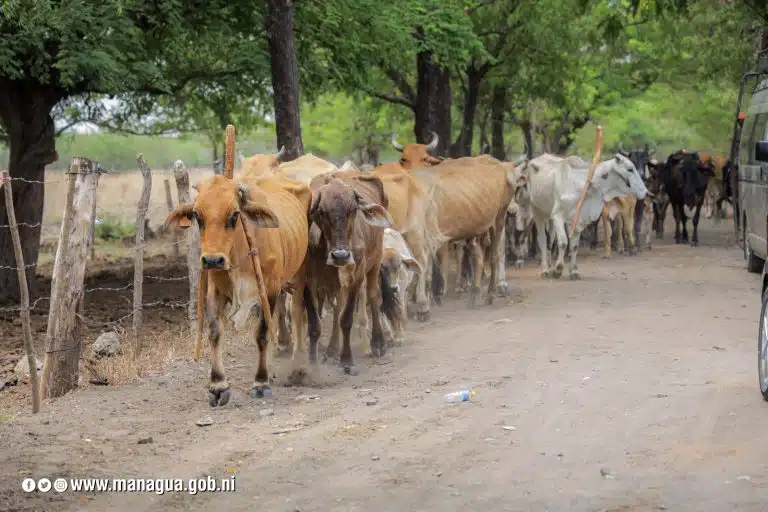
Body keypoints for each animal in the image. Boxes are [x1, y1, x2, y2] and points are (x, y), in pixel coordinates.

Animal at [165, 173, 312, 407]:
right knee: (280, 314)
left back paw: (298, 360)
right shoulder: (215, 292)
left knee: (296, 311)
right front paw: (218, 386)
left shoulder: (268, 289)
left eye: (234, 214)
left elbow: (261, 333)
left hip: (300, 272)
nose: (212, 260)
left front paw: (260, 383)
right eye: (197, 215)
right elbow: (215, 333)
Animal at [304, 171, 401, 375]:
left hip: (375, 260)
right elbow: (315, 325)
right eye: (321, 211)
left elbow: (346, 319)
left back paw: (378, 343)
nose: (341, 255)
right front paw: (312, 363)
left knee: (373, 296)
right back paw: (332, 350)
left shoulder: (356, 276)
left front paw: (347, 360)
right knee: (336, 310)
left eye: (353, 209)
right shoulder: (308, 280)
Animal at [520, 153, 650, 279]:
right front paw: (558, 270)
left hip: (549, 216)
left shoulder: (578, 220)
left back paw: (550, 267)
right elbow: (563, 242)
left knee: (550, 241)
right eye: (630, 169)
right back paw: (545, 270)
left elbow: (574, 246)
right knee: (542, 240)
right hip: (538, 212)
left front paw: (573, 271)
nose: (645, 191)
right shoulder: (557, 216)